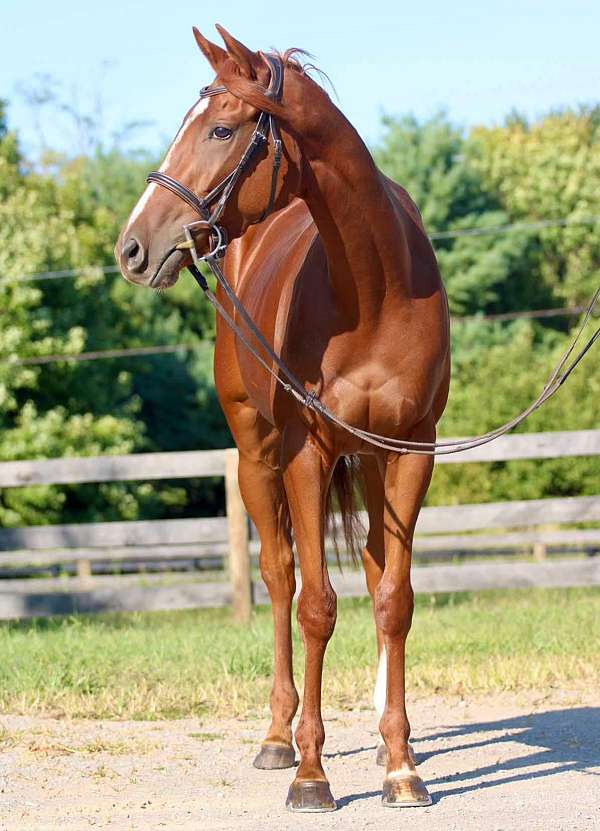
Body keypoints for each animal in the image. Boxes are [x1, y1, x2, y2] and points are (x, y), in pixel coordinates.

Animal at [115, 25, 451, 812]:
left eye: (221, 128)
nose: (133, 247)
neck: (375, 291)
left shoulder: (411, 451)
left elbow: (394, 599)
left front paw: (401, 769)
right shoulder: (305, 454)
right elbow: (314, 606)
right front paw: (311, 772)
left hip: (369, 463)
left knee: (372, 566)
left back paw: (392, 737)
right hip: (256, 454)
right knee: (277, 576)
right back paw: (276, 736)